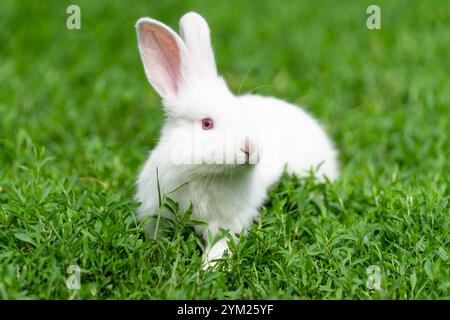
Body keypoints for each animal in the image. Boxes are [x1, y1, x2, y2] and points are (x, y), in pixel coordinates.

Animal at [134, 11, 338, 268]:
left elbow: (220, 247)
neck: (202, 175)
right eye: (206, 124)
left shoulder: (226, 224)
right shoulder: (156, 215)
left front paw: (206, 270)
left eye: (243, 113)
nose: (250, 147)